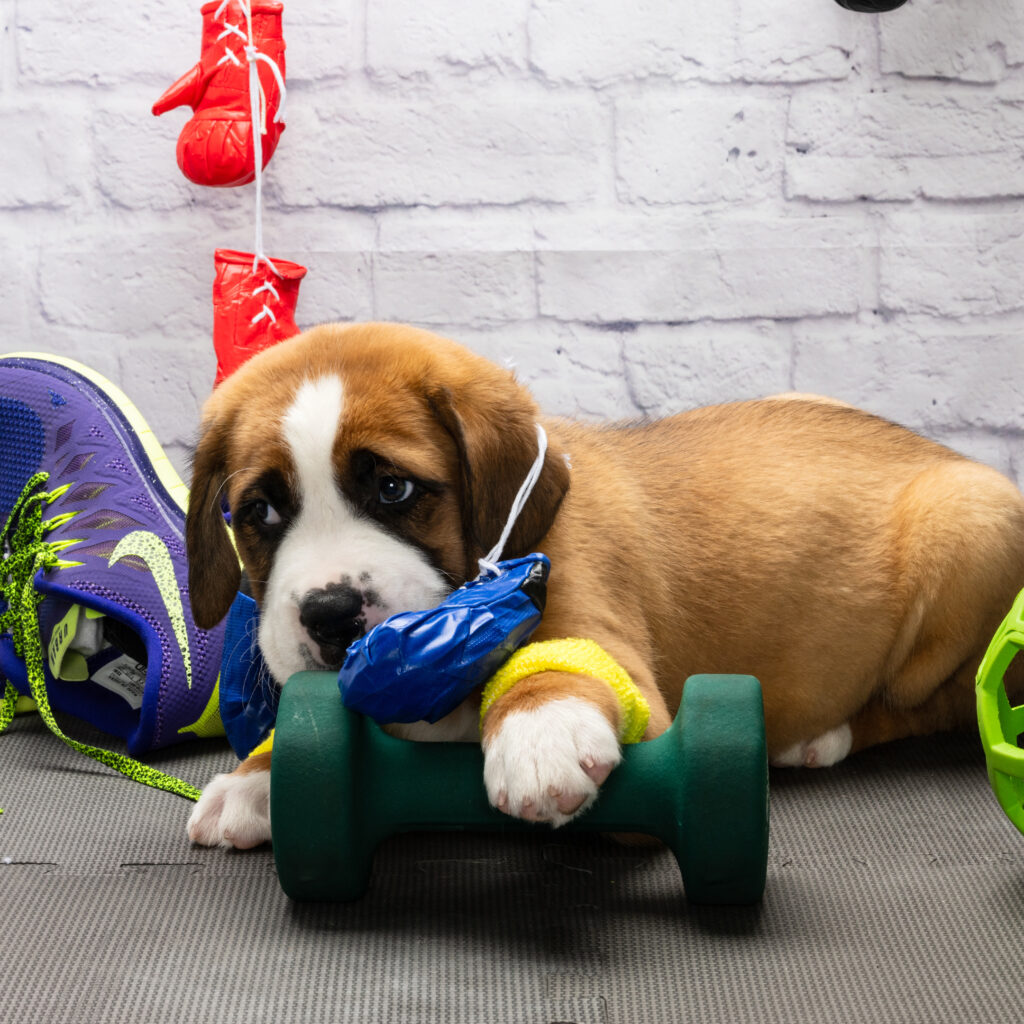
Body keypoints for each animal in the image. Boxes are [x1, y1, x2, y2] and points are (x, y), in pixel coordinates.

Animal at [182, 321, 1024, 847]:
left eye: (393, 490)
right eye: (260, 511)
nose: (329, 615)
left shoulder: (616, 663)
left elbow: (557, 667)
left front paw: (541, 729)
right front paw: (255, 779)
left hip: (968, 528)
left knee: (942, 703)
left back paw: (820, 737)